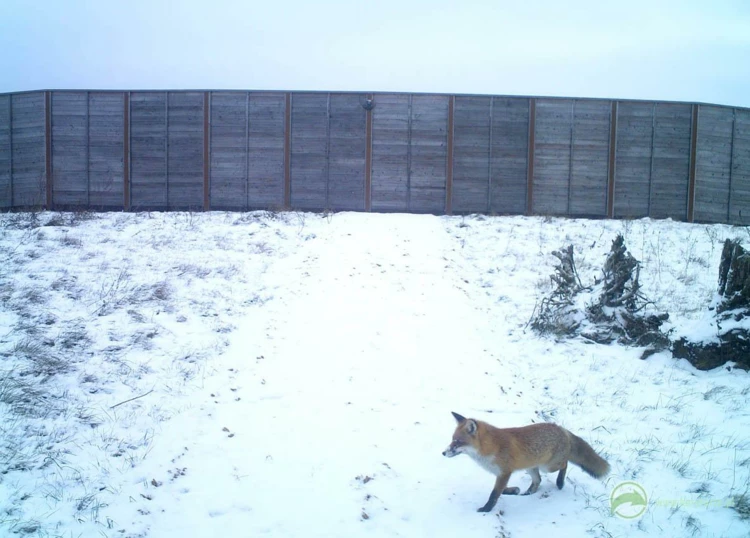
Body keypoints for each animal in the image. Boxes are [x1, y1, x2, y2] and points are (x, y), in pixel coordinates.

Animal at [440, 410, 612, 510]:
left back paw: (560, 483)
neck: (489, 448)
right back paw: (528, 493)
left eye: (458, 442)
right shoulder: (502, 474)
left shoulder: (504, 472)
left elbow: (494, 494)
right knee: (538, 481)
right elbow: (502, 490)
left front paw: (486, 509)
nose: (443, 453)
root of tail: (561, 429)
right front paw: (514, 491)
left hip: (548, 466)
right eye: (452, 439)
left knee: (565, 464)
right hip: (531, 467)